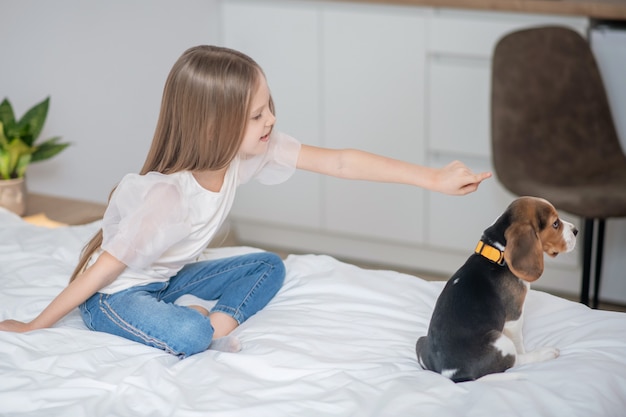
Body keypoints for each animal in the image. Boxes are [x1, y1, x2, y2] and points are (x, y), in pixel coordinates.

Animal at [414, 197, 576, 382]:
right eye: (555, 224)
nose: (576, 230)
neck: (498, 251)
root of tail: (451, 374)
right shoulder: (514, 318)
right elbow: (519, 343)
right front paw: (527, 351)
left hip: (420, 341)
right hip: (500, 341)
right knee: (515, 360)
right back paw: (545, 353)